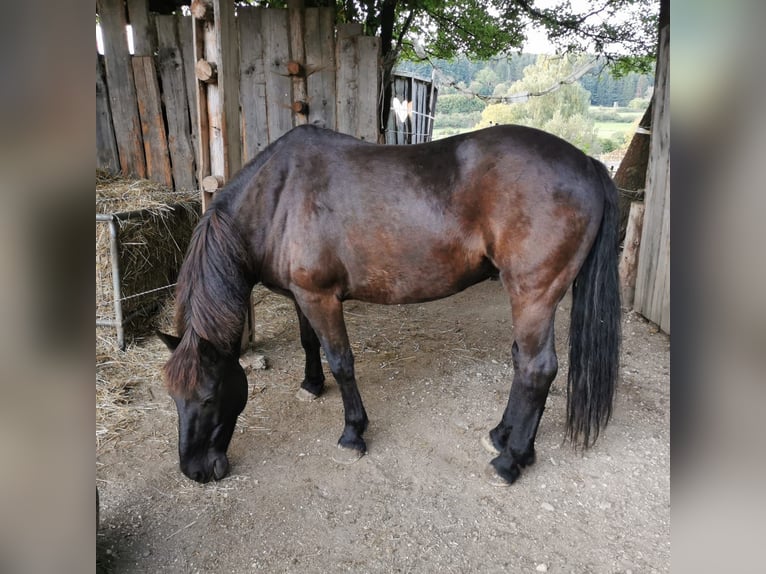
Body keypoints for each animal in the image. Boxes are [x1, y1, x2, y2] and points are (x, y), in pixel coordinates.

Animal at [159, 125, 620, 486]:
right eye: (173, 398)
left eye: (208, 397)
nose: (194, 471)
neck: (278, 195)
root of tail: (587, 163)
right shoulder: (302, 296)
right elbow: (310, 343)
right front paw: (311, 385)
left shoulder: (321, 298)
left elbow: (341, 362)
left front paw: (352, 434)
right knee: (521, 362)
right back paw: (502, 435)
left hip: (533, 294)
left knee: (537, 369)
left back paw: (510, 461)